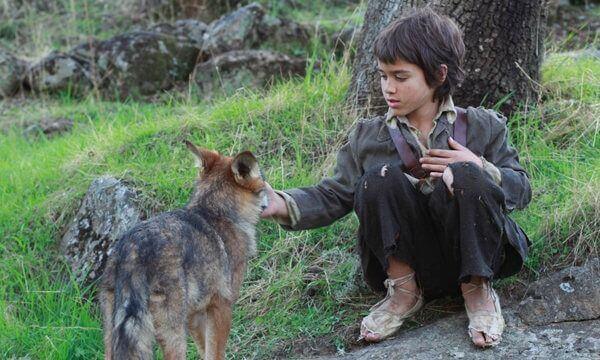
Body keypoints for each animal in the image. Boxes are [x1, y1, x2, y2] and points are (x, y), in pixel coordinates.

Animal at [100, 142, 268, 360]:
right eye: (263, 180)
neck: (218, 213)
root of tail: (131, 251)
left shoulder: (194, 314)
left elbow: (205, 352)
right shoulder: (222, 305)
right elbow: (216, 354)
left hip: (113, 338)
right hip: (174, 336)